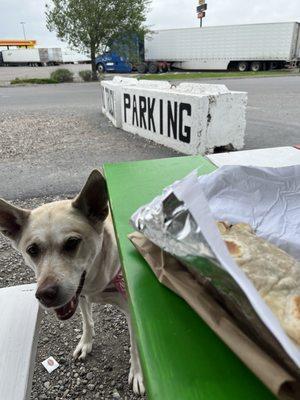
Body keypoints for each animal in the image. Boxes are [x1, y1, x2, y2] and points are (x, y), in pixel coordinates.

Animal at [0, 169, 144, 394]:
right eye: (32, 250)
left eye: (72, 243)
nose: (45, 294)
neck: (96, 282)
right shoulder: (81, 296)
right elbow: (87, 321)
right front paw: (86, 343)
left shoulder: (132, 313)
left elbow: (136, 346)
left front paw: (138, 373)